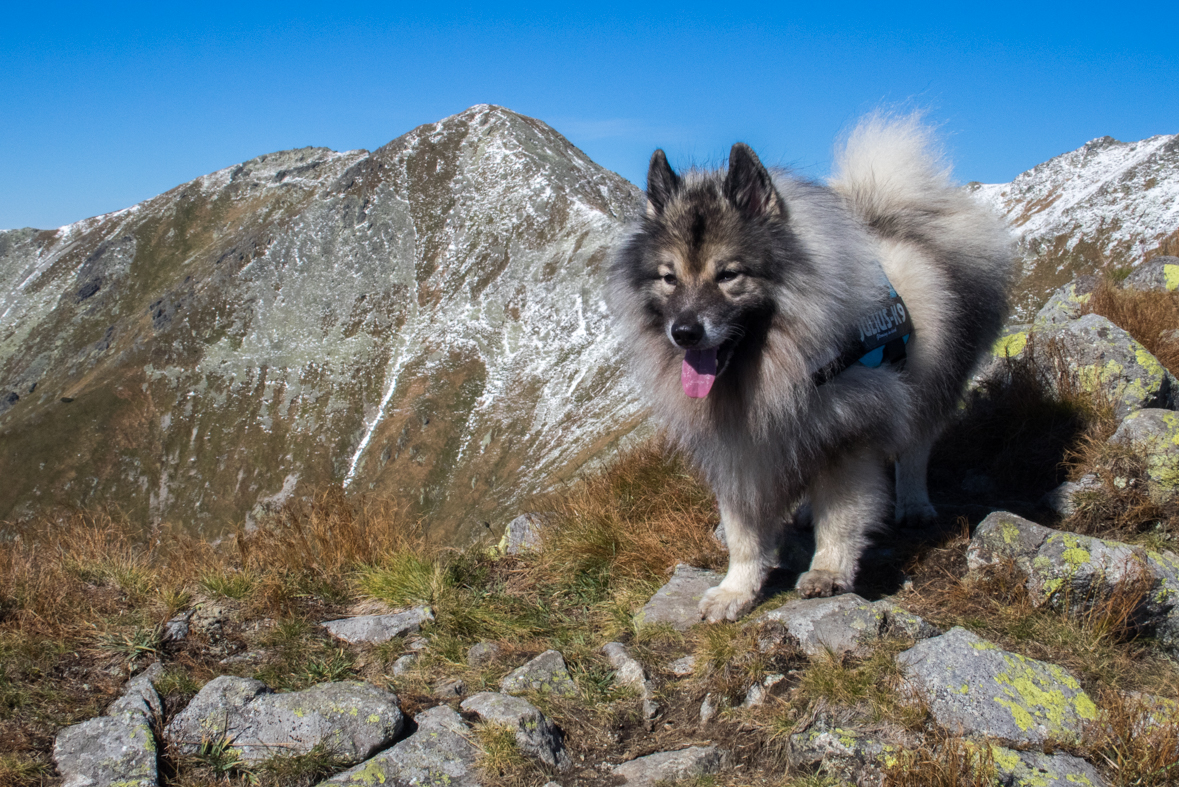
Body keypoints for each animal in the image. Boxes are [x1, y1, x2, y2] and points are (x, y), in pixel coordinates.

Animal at [608, 115, 1013, 622]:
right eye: (669, 277)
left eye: (729, 275)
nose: (684, 332)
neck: (770, 366)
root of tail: (891, 214)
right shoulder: (741, 449)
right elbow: (743, 533)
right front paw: (736, 590)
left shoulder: (849, 435)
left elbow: (841, 516)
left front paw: (828, 572)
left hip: (932, 379)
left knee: (916, 446)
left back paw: (914, 503)